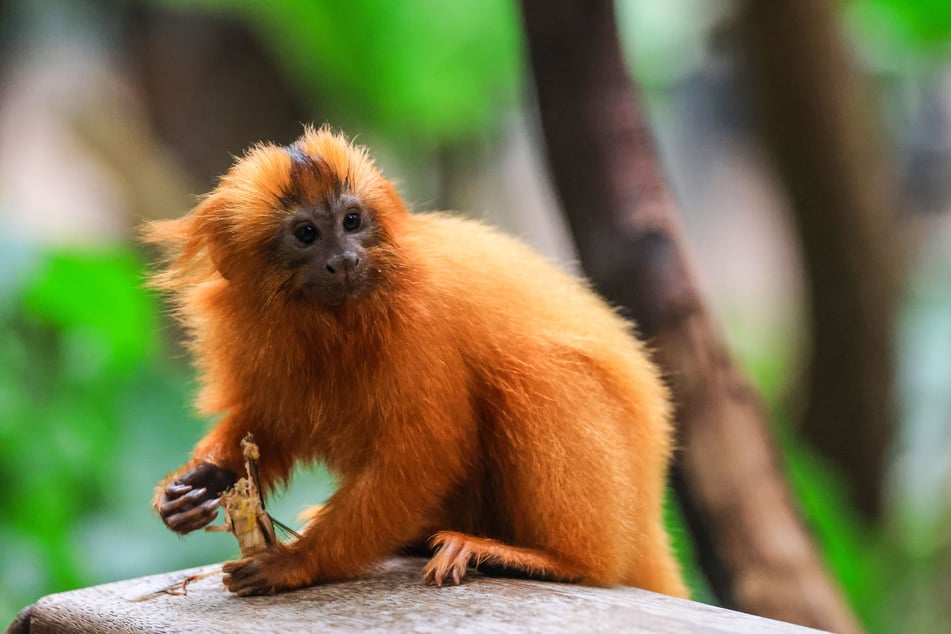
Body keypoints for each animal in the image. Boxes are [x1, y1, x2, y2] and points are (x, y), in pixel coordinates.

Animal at [147, 126, 684, 596]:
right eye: (306, 233)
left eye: (351, 222)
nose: (344, 260)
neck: (332, 323)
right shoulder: (251, 334)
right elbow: (266, 426)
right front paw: (198, 484)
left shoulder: (421, 325)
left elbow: (424, 453)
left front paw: (298, 562)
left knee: (538, 371)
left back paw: (550, 560)